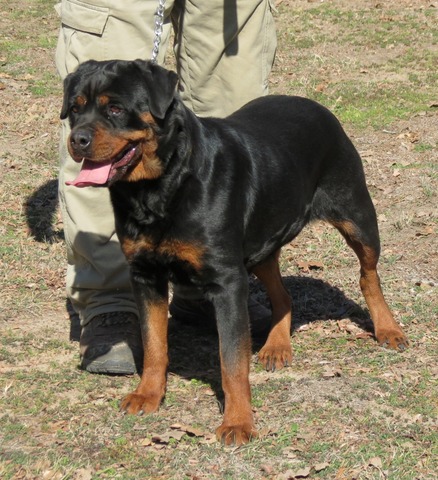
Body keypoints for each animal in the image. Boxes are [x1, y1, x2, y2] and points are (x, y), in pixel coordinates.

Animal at [60, 59, 408, 446]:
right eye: (74, 109)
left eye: (116, 109)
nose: (77, 139)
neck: (160, 187)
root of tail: (317, 106)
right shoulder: (146, 275)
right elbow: (153, 345)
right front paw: (148, 395)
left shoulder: (227, 282)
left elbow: (231, 361)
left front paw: (239, 422)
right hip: (260, 245)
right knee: (283, 294)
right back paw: (276, 347)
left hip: (357, 217)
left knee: (368, 274)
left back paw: (388, 329)